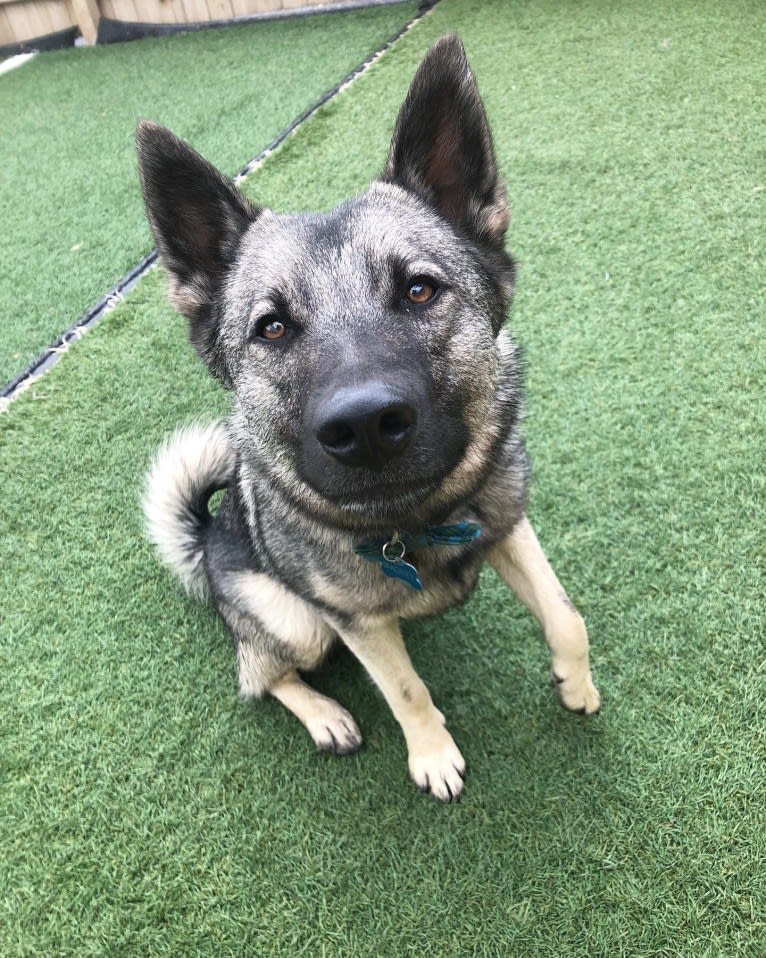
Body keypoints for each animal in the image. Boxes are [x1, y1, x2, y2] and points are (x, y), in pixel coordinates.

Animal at [141, 35, 604, 804]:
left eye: (419, 290)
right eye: (271, 328)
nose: (362, 427)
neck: (419, 521)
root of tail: (205, 540)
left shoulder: (509, 525)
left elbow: (566, 617)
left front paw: (575, 683)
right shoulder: (353, 622)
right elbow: (405, 690)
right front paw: (433, 756)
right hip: (295, 622)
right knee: (258, 674)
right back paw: (325, 714)